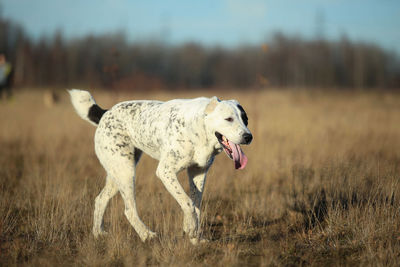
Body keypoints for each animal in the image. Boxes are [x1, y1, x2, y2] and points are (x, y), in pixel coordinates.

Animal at [67, 90, 252, 245]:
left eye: (245, 119)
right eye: (229, 119)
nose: (248, 136)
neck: (200, 128)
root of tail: (105, 113)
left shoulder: (198, 172)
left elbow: (196, 205)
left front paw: (195, 237)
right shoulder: (165, 171)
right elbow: (187, 202)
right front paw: (191, 228)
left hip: (116, 174)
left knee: (100, 199)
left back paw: (98, 233)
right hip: (126, 172)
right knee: (129, 210)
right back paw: (146, 235)